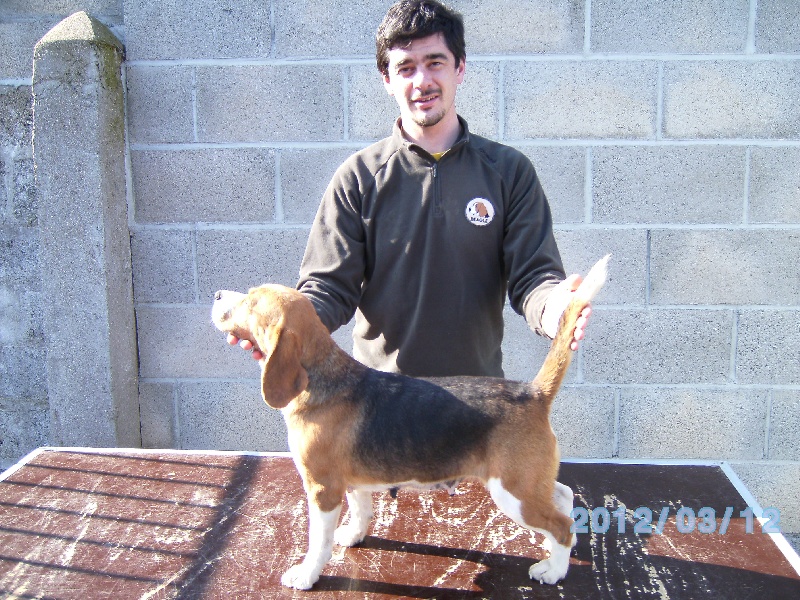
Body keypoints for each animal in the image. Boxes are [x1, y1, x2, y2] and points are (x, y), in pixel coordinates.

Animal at [209, 254, 608, 592]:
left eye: (250, 302)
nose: (215, 294)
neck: (323, 375)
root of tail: (533, 392)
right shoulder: (350, 482)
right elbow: (361, 509)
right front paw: (353, 535)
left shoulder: (322, 488)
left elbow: (317, 542)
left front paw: (306, 575)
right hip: (528, 484)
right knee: (563, 496)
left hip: (512, 492)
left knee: (562, 526)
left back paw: (553, 570)